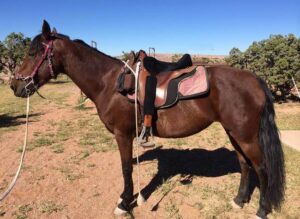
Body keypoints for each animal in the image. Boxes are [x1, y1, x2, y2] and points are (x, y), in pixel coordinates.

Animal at [10, 20, 284, 217]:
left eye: (33, 53)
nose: (15, 85)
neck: (108, 83)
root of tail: (256, 80)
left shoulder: (122, 135)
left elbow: (126, 168)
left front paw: (125, 202)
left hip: (245, 136)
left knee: (261, 168)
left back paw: (262, 209)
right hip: (233, 133)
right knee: (244, 164)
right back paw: (239, 201)